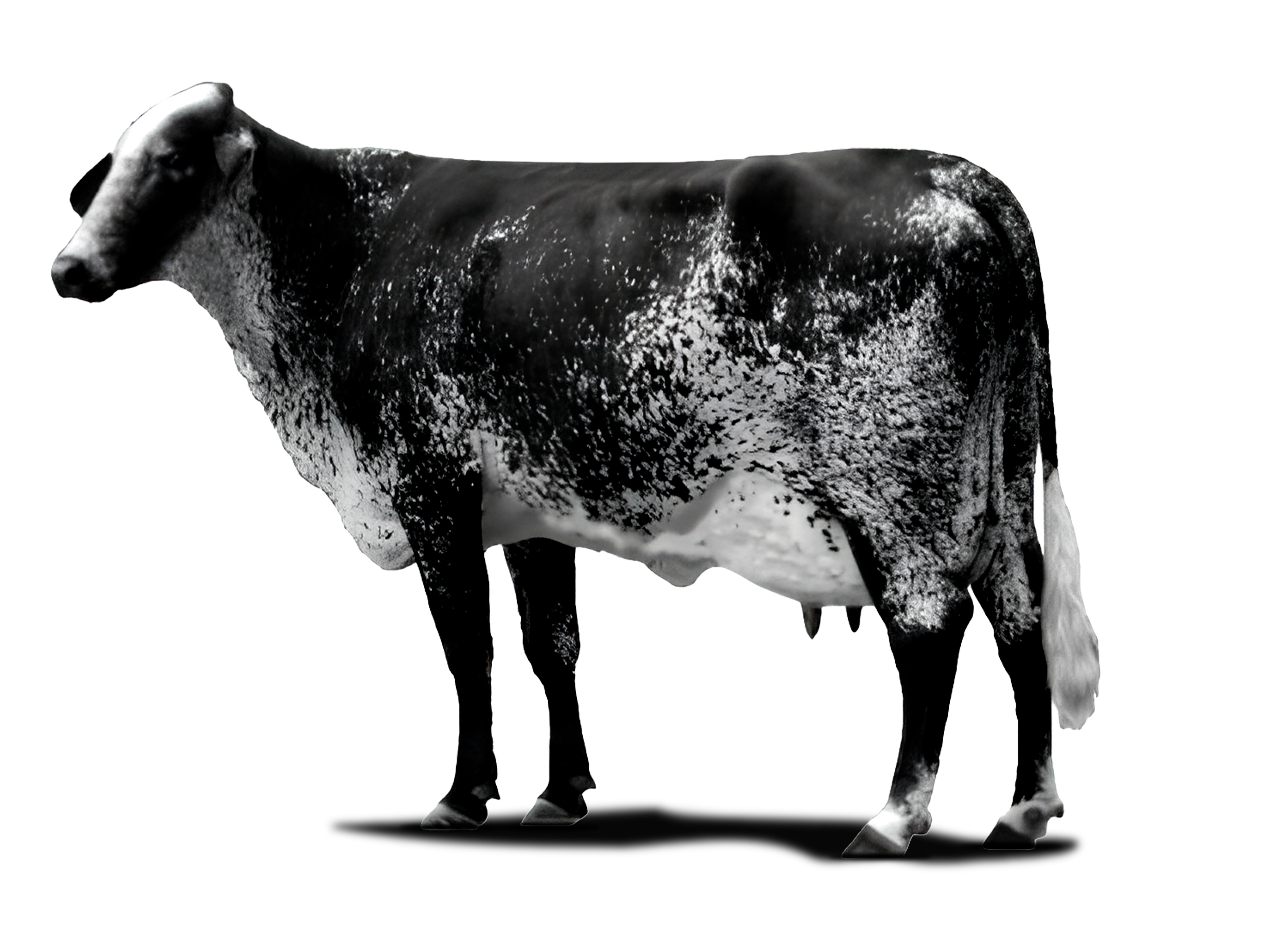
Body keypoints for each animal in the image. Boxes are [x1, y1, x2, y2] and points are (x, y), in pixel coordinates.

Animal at [51, 82, 1098, 858]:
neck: (343, 257)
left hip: (899, 497)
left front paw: (463, 796)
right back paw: (1024, 811)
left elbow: (467, 649)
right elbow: (550, 646)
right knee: (1020, 623)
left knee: (931, 634)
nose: (66, 268)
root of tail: (951, 170)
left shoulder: (431, 488)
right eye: (106, 168)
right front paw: (559, 795)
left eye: (173, 162)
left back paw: (894, 818)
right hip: (996, 494)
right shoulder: (529, 511)